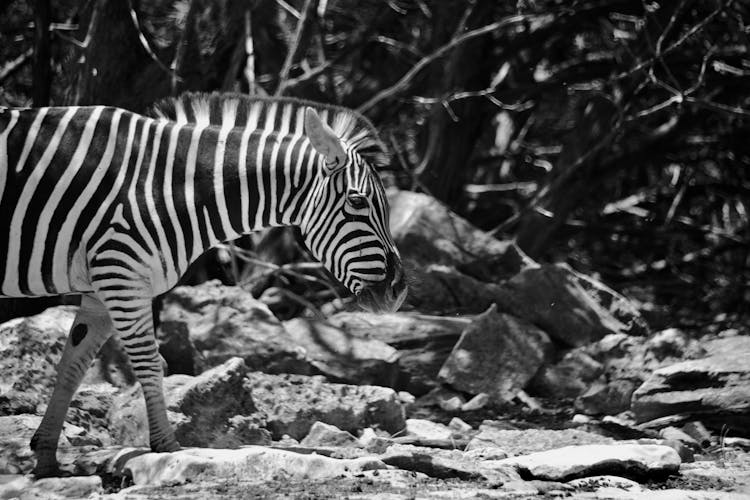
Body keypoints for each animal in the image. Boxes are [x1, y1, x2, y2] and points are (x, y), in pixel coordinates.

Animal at [0, 94, 408, 476]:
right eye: (357, 201)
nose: (399, 291)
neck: (162, 186)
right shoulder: (123, 275)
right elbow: (149, 363)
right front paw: (167, 447)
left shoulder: (100, 290)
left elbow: (72, 366)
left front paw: (46, 458)